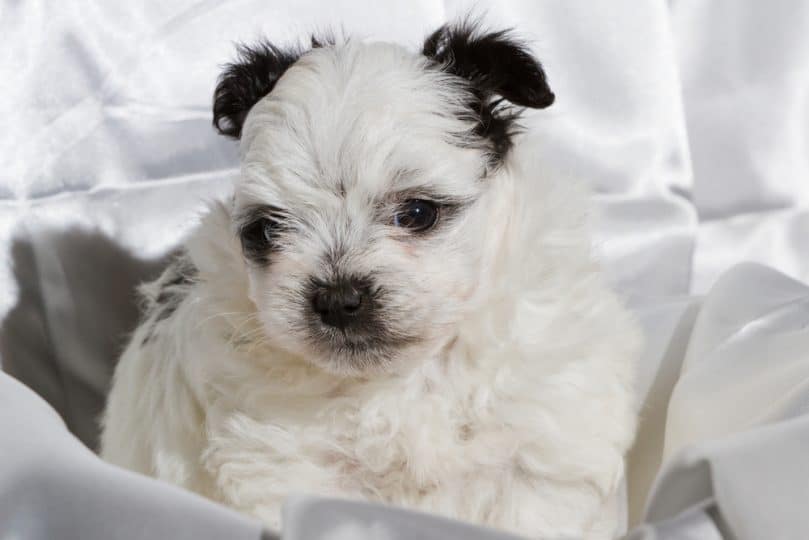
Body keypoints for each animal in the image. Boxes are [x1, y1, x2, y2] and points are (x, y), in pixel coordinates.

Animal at [101, 22, 640, 540]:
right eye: (268, 230)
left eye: (417, 213)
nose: (338, 299)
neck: (406, 376)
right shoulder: (289, 463)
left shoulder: (539, 449)